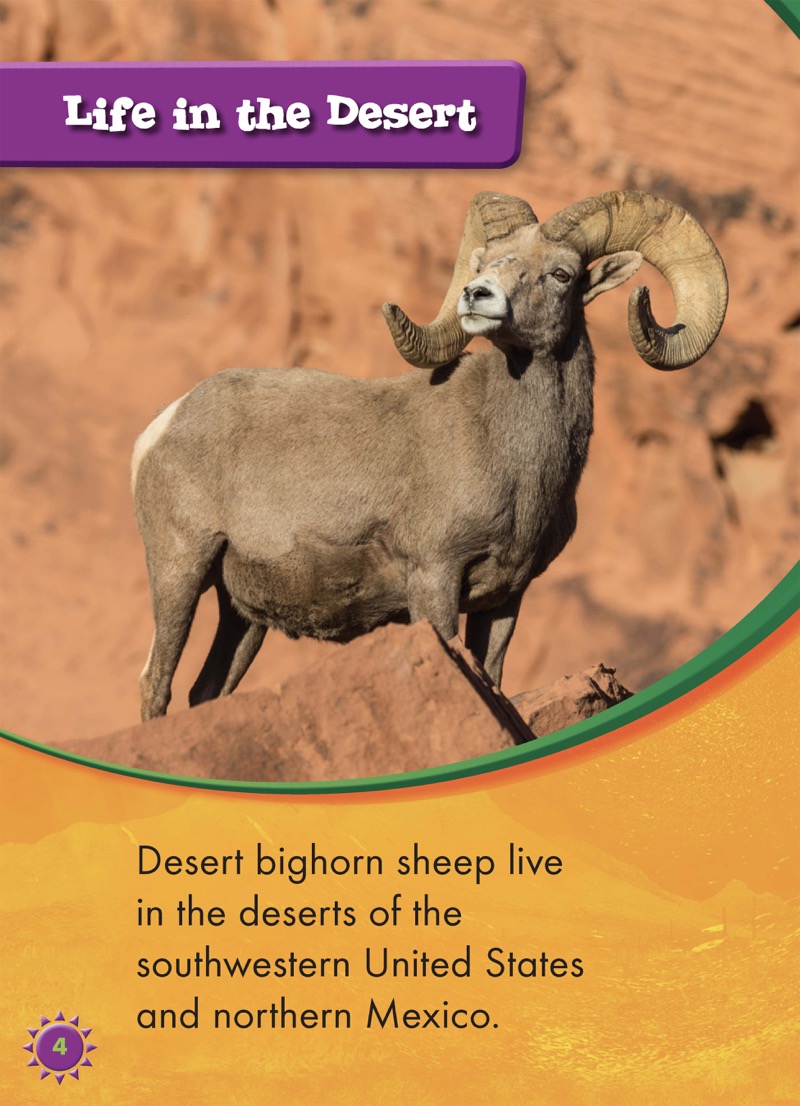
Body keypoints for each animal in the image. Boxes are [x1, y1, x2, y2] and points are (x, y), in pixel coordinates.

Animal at [132, 190, 727, 721]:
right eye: (483, 262)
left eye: (562, 274)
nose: (476, 294)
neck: (515, 465)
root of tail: (165, 424)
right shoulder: (433, 579)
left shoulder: (504, 600)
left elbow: (494, 682)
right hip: (181, 568)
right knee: (156, 685)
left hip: (243, 616)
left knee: (205, 693)